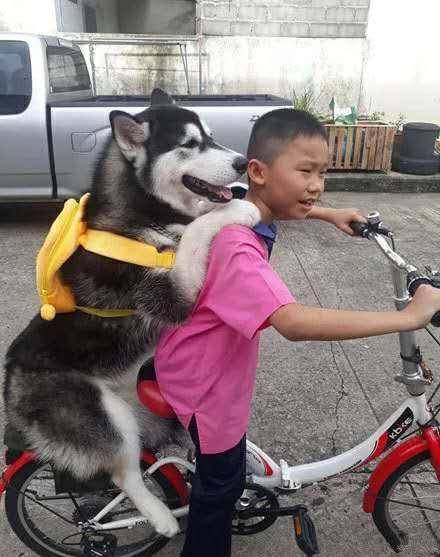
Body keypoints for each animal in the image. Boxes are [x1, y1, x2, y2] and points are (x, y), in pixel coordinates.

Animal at [4, 89, 262, 536]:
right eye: (189, 143)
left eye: (211, 136)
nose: (241, 163)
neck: (145, 217)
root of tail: (9, 393)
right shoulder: (172, 295)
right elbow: (197, 231)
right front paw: (239, 211)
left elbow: (197, 225)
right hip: (102, 416)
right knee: (122, 473)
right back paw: (160, 517)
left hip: (145, 412)